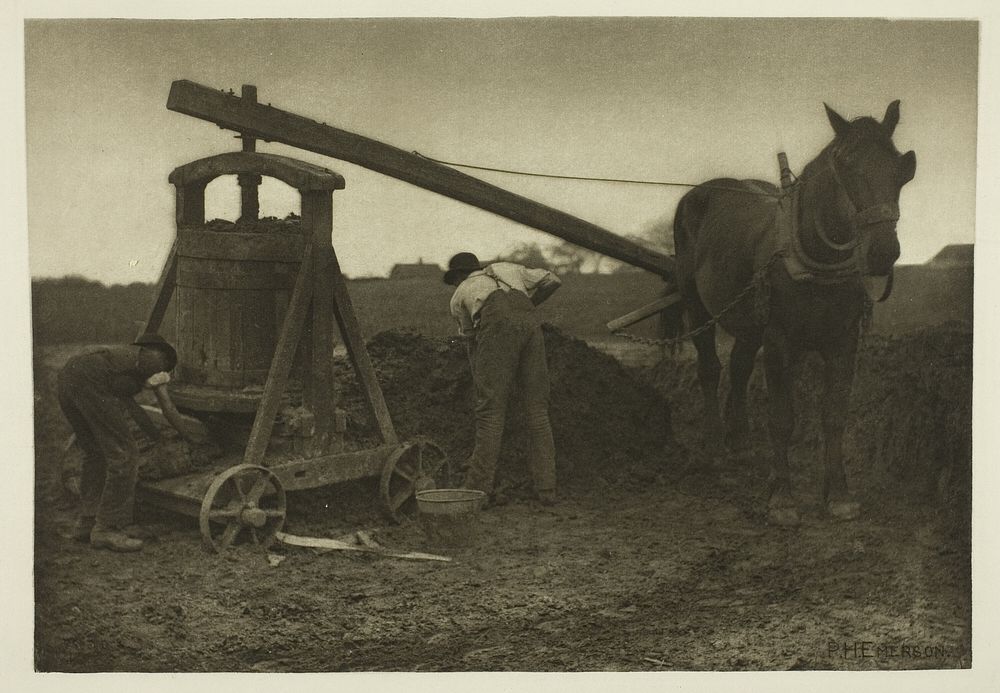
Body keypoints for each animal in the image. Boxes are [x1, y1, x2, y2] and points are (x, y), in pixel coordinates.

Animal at [672, 101, 916, 524]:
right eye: (845, 165)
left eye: (901, 168)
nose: (883, 251)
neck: (817, 260)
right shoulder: (780, 341)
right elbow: (782, 417)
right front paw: (782, 498)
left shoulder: (843, 342)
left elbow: (834, 416)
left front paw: (839, 495)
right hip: (697, 304)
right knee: (710, 368)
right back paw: (716, 449)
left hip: (750, 318)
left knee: (739, 367)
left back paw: (741, 444)